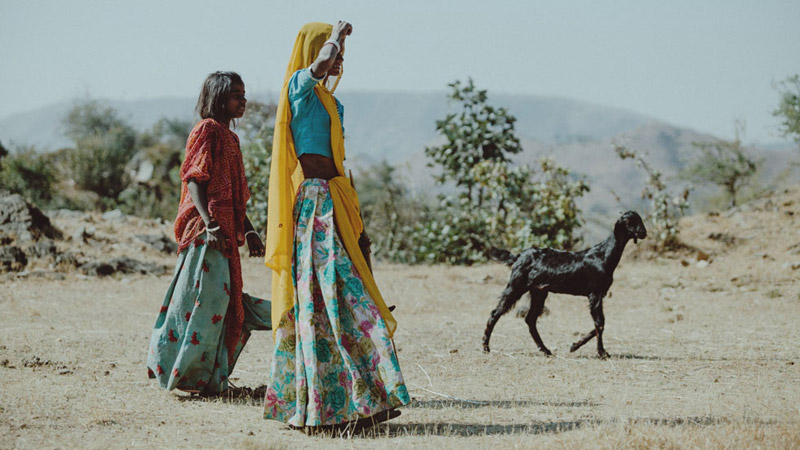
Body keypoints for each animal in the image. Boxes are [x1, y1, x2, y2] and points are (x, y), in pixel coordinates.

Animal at [482, 211, 644, 358]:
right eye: (629, 222)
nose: (643, 232)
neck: (603, 255)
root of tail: (518, 256)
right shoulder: (595, 294)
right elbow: (599, 323)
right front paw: (602, 352)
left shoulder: (598, 295)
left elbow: (599, 324)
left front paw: (575, 345)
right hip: (516, 286)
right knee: (496, 313)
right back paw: (486, 346)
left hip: (539, 291)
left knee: (530, 319)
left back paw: (545, 350)